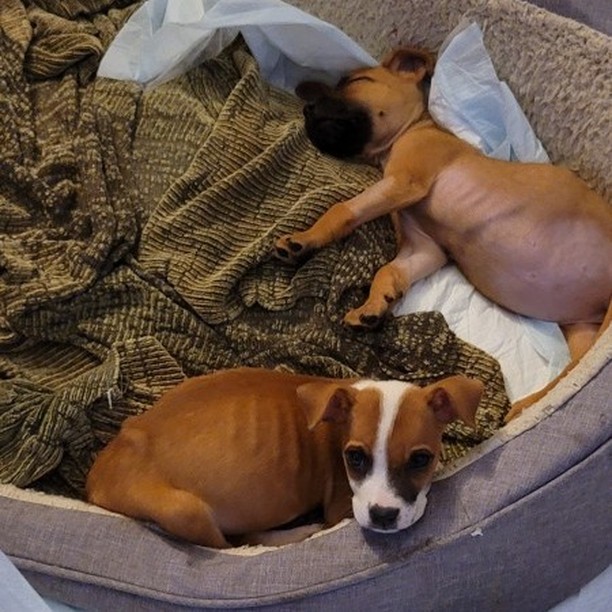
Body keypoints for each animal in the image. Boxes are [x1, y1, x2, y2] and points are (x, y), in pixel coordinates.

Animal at [86, 366, 482, 548]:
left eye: (420, 460)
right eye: (354, 458)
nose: (383, 516)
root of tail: (96, 476)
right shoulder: (342, 506)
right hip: (187, 511)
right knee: (240, 542)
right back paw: (300, 532)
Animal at [276, 46, 612, 416]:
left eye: (357, 81)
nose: (307, 109)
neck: (413, 130)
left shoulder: (405, 182)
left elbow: (343, 211)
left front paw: (304, 239)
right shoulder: (425, 247)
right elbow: (389, 270)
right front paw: (375, 304)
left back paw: (524, 408)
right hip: (583, 329)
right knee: (574, 371)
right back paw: (530, 405)